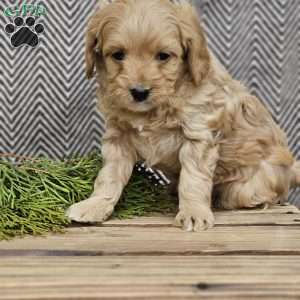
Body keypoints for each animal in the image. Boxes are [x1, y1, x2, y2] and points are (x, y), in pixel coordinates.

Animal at [67, 0, 298, 232]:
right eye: (118, 55)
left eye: (163, 56)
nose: (139, 92)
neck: (157, 108)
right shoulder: (118, 136)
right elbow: (109, 176)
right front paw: (95, 205)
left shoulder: (199, 134)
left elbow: (193, 179)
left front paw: (193, 212)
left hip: (247, 187)